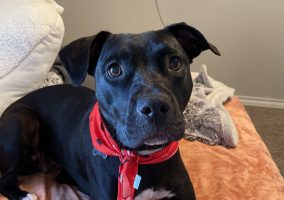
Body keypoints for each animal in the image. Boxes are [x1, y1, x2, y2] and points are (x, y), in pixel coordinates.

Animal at [0, 22, 220, 200]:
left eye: (175, 63)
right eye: (114, 70)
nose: (155, 107)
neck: (141, 159)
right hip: (23, 119)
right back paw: (25, 195)